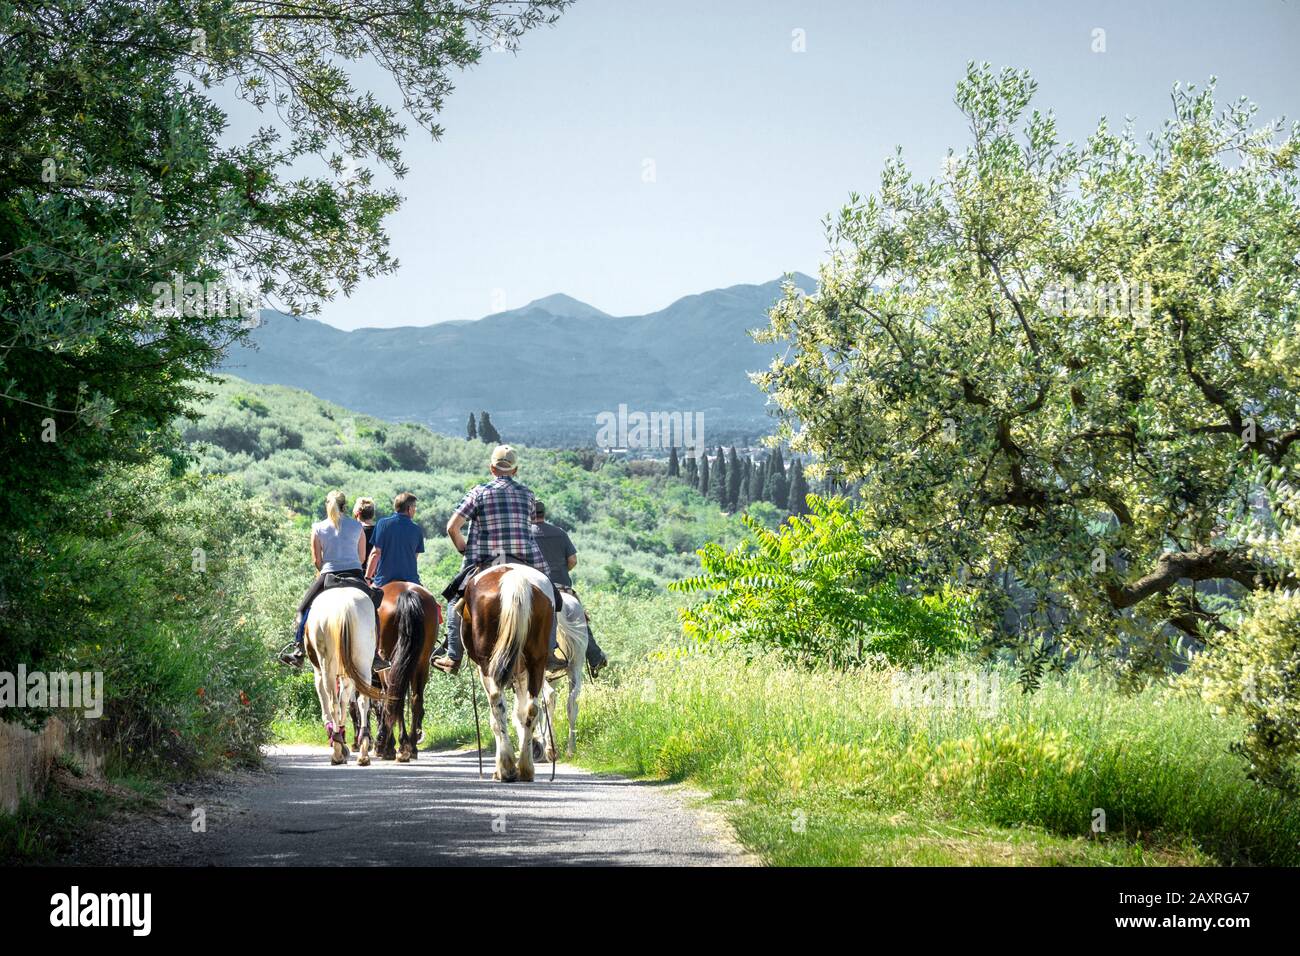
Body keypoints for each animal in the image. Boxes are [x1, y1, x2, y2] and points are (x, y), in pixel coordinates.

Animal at [305, 587, 382, 764]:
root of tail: (344, 607)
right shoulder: (347, 674)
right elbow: (345, 702)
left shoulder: (318, 672)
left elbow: (328, 705)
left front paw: (339, 741)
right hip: (363, 662)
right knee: (363, 700)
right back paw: (363, 750)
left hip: (327, 665)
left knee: (332, 702)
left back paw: (337, 750)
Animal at [371, 582, 441, 764]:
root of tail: (407, 592)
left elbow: (381, 703)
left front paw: (382, 744)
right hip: (421, 662)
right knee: (416, 699)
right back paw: (411, 747)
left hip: (389, 661)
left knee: (395, 697)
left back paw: (398, 747)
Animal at [462, 564, 553, 780]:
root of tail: (514, 577)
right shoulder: (522, 672)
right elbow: (520, 713)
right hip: (537, 660)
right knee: (532, 709)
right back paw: (526, 768)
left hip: (488, 664)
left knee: (497, 705)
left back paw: (506, 767)